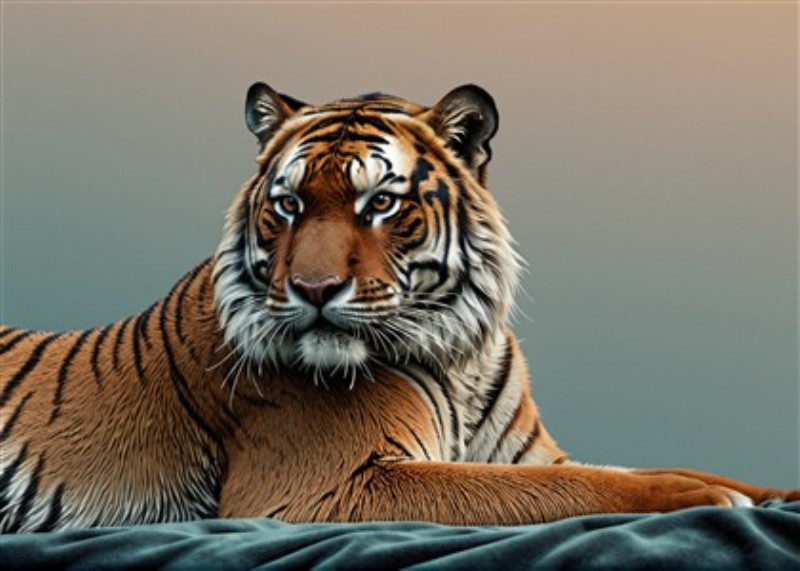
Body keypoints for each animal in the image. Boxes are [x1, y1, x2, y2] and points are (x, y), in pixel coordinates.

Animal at [1, 82, 797, 533]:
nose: (314, 290)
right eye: (288, 206)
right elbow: (570, 487)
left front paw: (768, 493)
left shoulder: (522, 450)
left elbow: (633, 467)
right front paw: (705, 500)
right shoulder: (335, 487)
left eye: (379, 203)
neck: (458, 351)